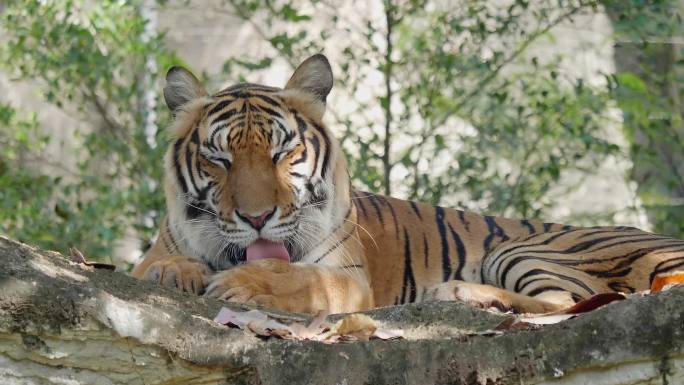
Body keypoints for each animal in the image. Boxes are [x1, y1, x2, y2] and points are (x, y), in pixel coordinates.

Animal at [131, 53, 684, 312]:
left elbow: (296, 277)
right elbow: (155, 266)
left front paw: (241, 284)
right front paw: (174, 274)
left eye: (282, 153)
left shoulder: (346, 278)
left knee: (565, 303)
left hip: (524, 249)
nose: (257, 217)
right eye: (219, 160)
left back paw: (459, 293)